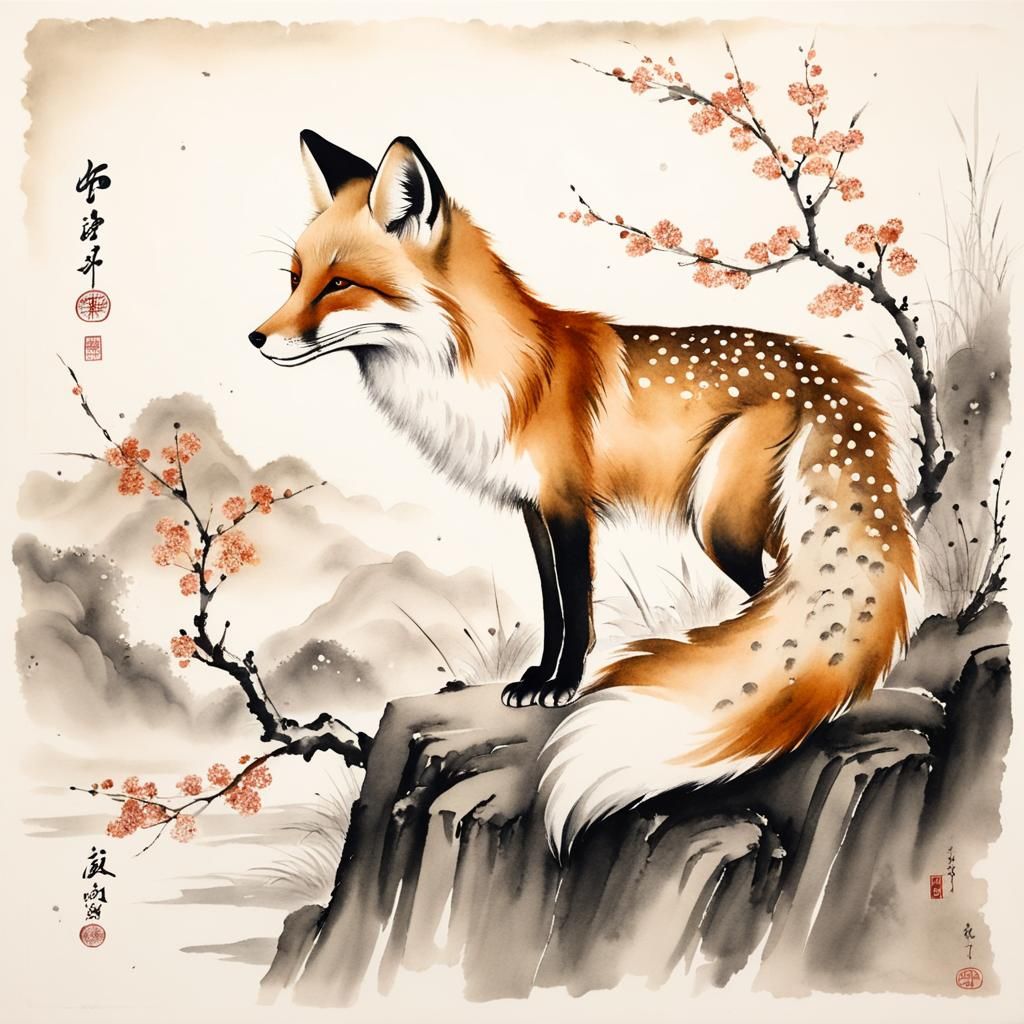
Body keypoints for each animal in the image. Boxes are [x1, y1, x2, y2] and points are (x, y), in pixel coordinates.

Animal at [250, 131, 920, 857]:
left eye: (340, 284)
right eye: (294, 279)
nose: (255, 338)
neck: (500, 374)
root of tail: (833, 376)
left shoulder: (570, 507)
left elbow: (577, 605)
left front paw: (565, 685)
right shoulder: (534, 511)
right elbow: (553, 607)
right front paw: (540, 680)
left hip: (720, 524)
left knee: (775, 603)